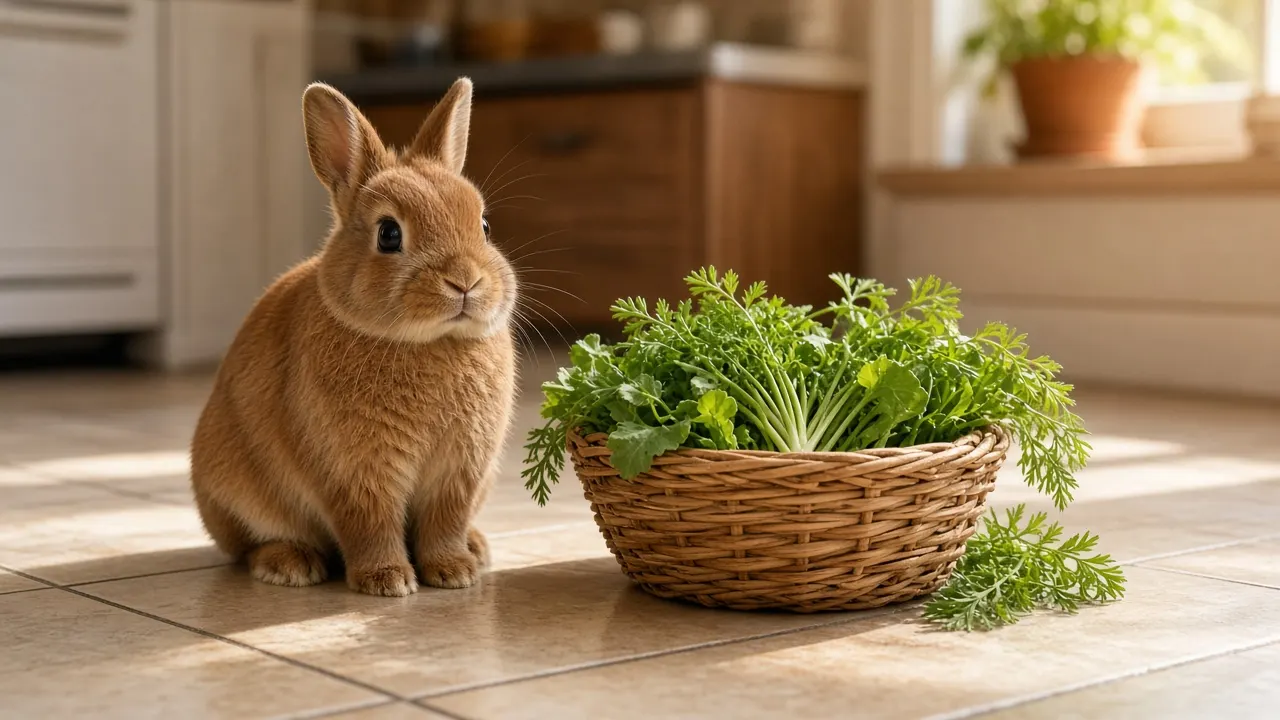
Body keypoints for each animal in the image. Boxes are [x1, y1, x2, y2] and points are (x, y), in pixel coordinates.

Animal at [189, 78, 518, 597]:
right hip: (238, 496)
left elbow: (444, 523)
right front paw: (387, 581)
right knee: (246, 547)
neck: (428, 342)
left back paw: (477, 548)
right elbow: (370, 525)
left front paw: (455, 572)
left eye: (484, 226)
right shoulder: (354, 473)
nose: (465, 281)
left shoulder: (459, 475)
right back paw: (290, 565)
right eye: (388, 234)